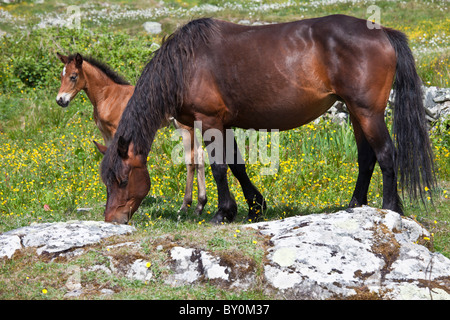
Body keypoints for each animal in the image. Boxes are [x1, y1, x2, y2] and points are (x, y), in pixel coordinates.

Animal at [55, 52, 207, 215]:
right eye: (61, 76)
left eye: (73, 76)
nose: (60, 100)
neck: (107, 96)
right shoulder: (106, 134)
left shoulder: (117, 131)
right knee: (200, 155)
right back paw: (200, 205)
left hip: (185, 127)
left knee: (191, 158)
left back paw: (185, 206)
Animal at [99, 15, 436, 225]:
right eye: (107, 182)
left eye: (123, 180)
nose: (113, 220)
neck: (185, 63)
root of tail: (383, 32)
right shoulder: (225, 124)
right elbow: (237, 166)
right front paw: (254, 207)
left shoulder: (209, 121)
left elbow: (220, 168)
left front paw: (223, 213)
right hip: (356, 113)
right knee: (366, 157)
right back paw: (355, 205)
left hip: (368, 113)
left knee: (386, 154)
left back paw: (390, 208)